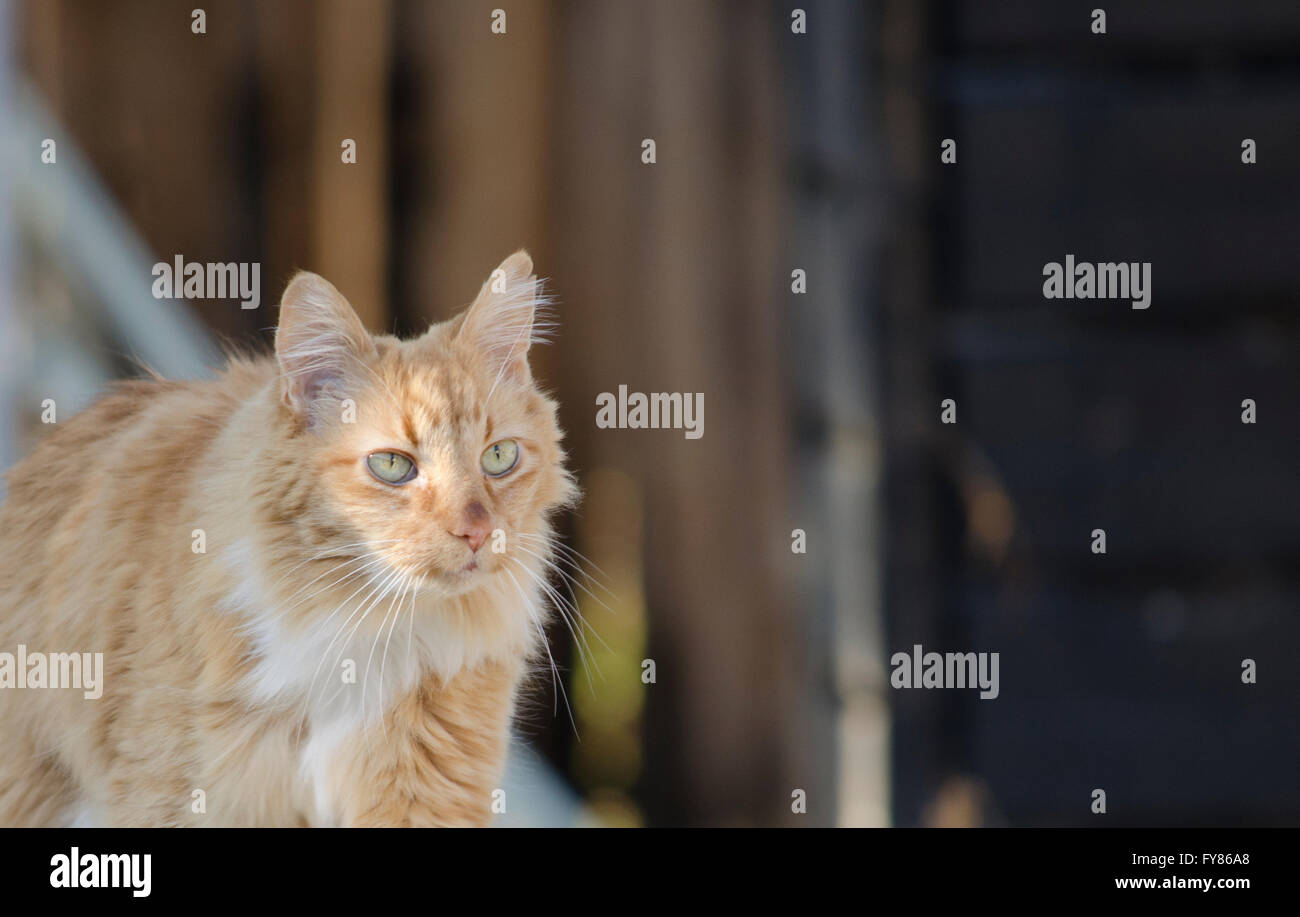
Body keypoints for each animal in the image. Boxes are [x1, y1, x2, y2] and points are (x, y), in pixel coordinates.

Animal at [0, 252, 579, 832]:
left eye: (499, 457)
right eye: (392, 466)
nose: (477, 531)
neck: (357, 633)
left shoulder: (425, 797)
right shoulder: (172, 797)